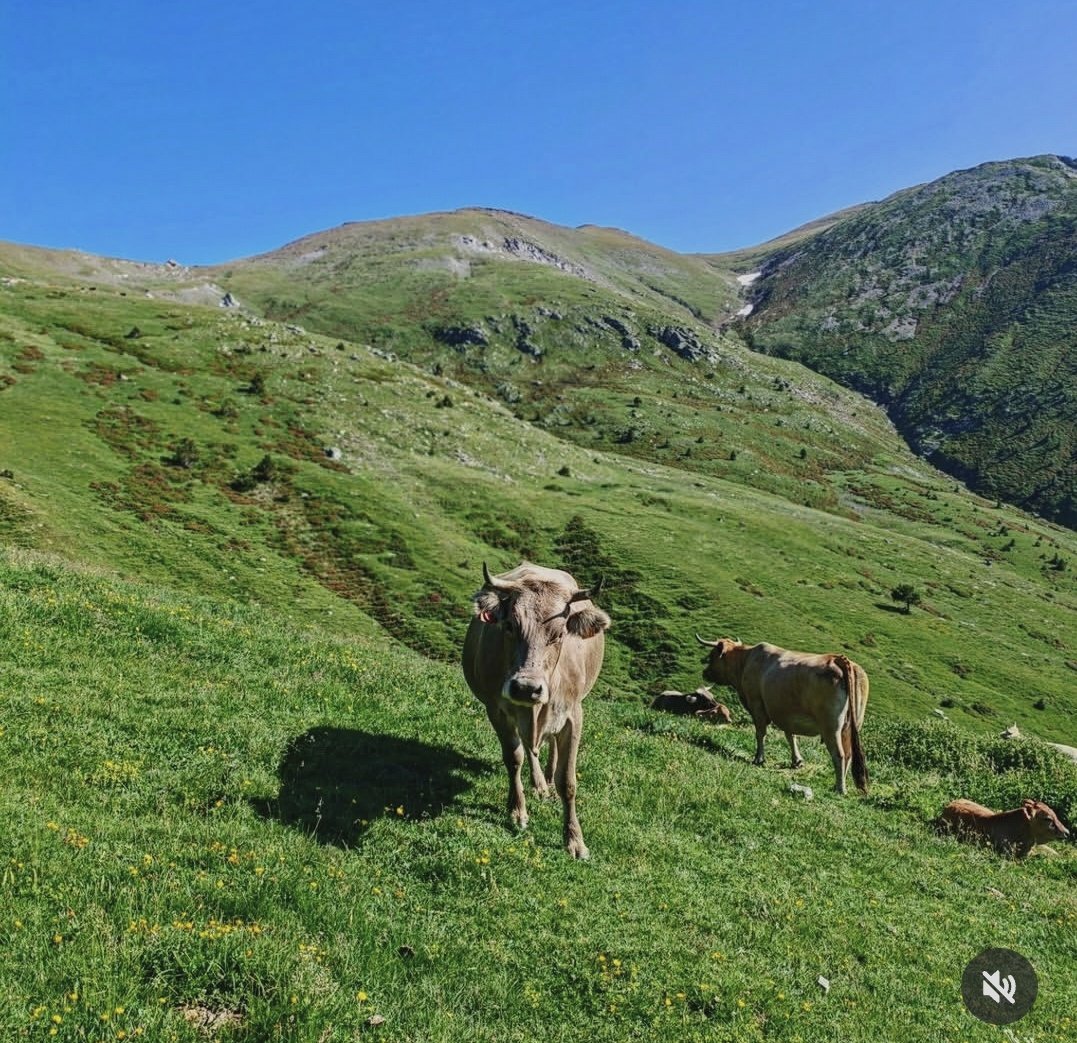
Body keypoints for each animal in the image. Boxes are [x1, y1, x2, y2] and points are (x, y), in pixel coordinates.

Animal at [462, 562, 610, 859]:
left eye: (560, 633)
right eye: (509, 625)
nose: (526, 687)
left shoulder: (573, 716)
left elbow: (568, 781)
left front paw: (574, 840)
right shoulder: (497, 710)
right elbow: (514, 758)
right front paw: (517, 811)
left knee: (549, 747)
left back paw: (547, 782)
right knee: (530, 748)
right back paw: (539, 783)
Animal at [695, 636, 869, 794]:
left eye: (712, 655)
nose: (704, 673)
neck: (745, 661)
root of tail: (838, 659)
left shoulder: (757, 705)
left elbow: (760, 733)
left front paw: (759, 758)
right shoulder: (785, 712)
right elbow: (790, 736)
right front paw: (797, 761)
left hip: (831, 727)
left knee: (839, 755)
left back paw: (840, 788)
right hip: (850, 726)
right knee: (849, 755)